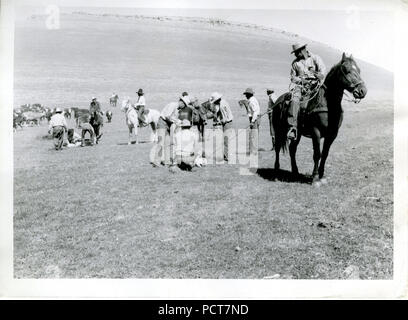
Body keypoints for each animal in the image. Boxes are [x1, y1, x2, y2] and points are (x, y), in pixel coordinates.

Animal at [272, 53, 368, 186]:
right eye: (346, 70)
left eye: (359, 70)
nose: (362, 91)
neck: (327, 104)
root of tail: (278, 100)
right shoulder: (315, 131)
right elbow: (317, 154)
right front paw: (315, 177)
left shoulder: (332, 134)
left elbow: (325, 153)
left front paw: (322, 176)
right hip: (278, 130)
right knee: (277, 147)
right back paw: (276, 171)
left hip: (298, 133)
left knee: (292, 149)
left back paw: (295, 172)